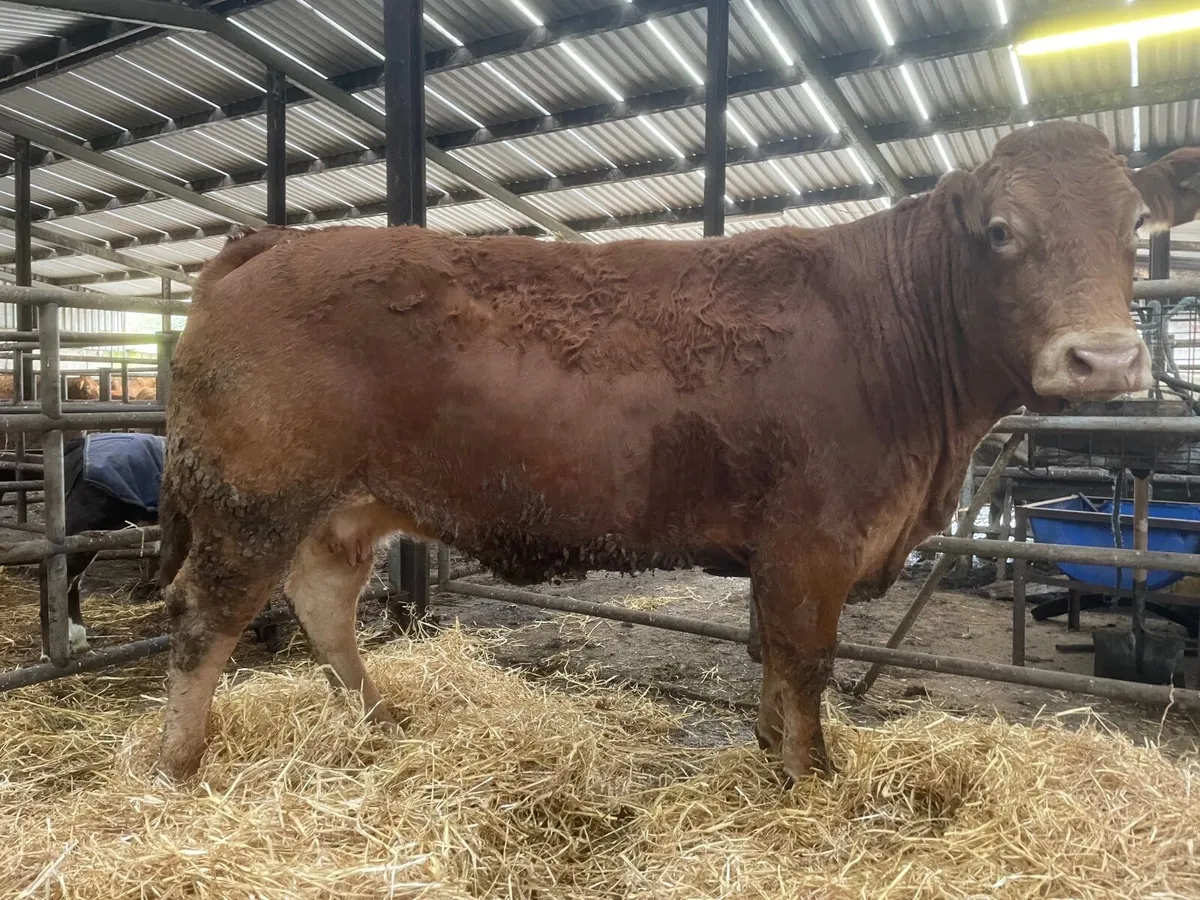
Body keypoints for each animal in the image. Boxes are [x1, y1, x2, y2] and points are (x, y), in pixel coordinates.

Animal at [152, 122, 1200, 782]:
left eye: (1135, 229)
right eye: (1000, 232)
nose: (1105, 359)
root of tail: (274, 242)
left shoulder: (789, 553)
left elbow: (778, 665)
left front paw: (776, 759)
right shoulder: (811, 542)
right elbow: (807, 663)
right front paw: (817, 779)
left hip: (340, 506)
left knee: (322, 603)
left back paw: (383, 720)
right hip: (253, 499)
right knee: (207, 617)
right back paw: (178, 765)